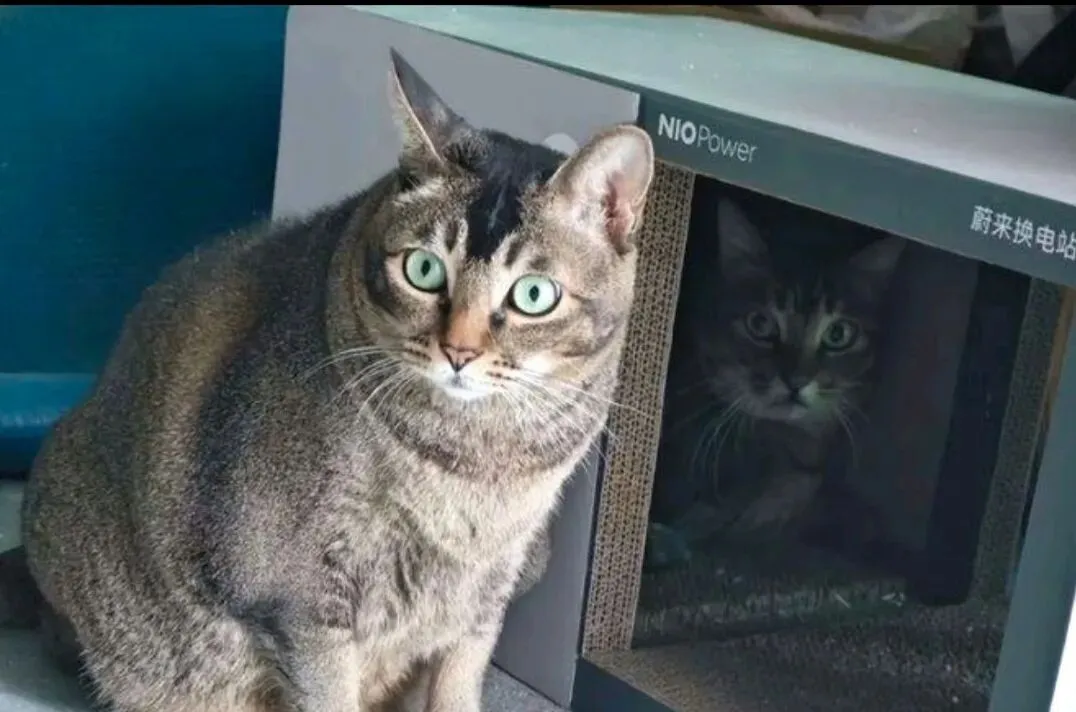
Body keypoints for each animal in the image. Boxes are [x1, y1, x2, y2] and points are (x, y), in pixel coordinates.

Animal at [3, 49, 654, 712]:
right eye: (423, 270)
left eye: (533, 295)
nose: (459, 352)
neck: (476, 463)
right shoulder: (302, 602)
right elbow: (327, 691)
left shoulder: (486, 595)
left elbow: (457, 685)